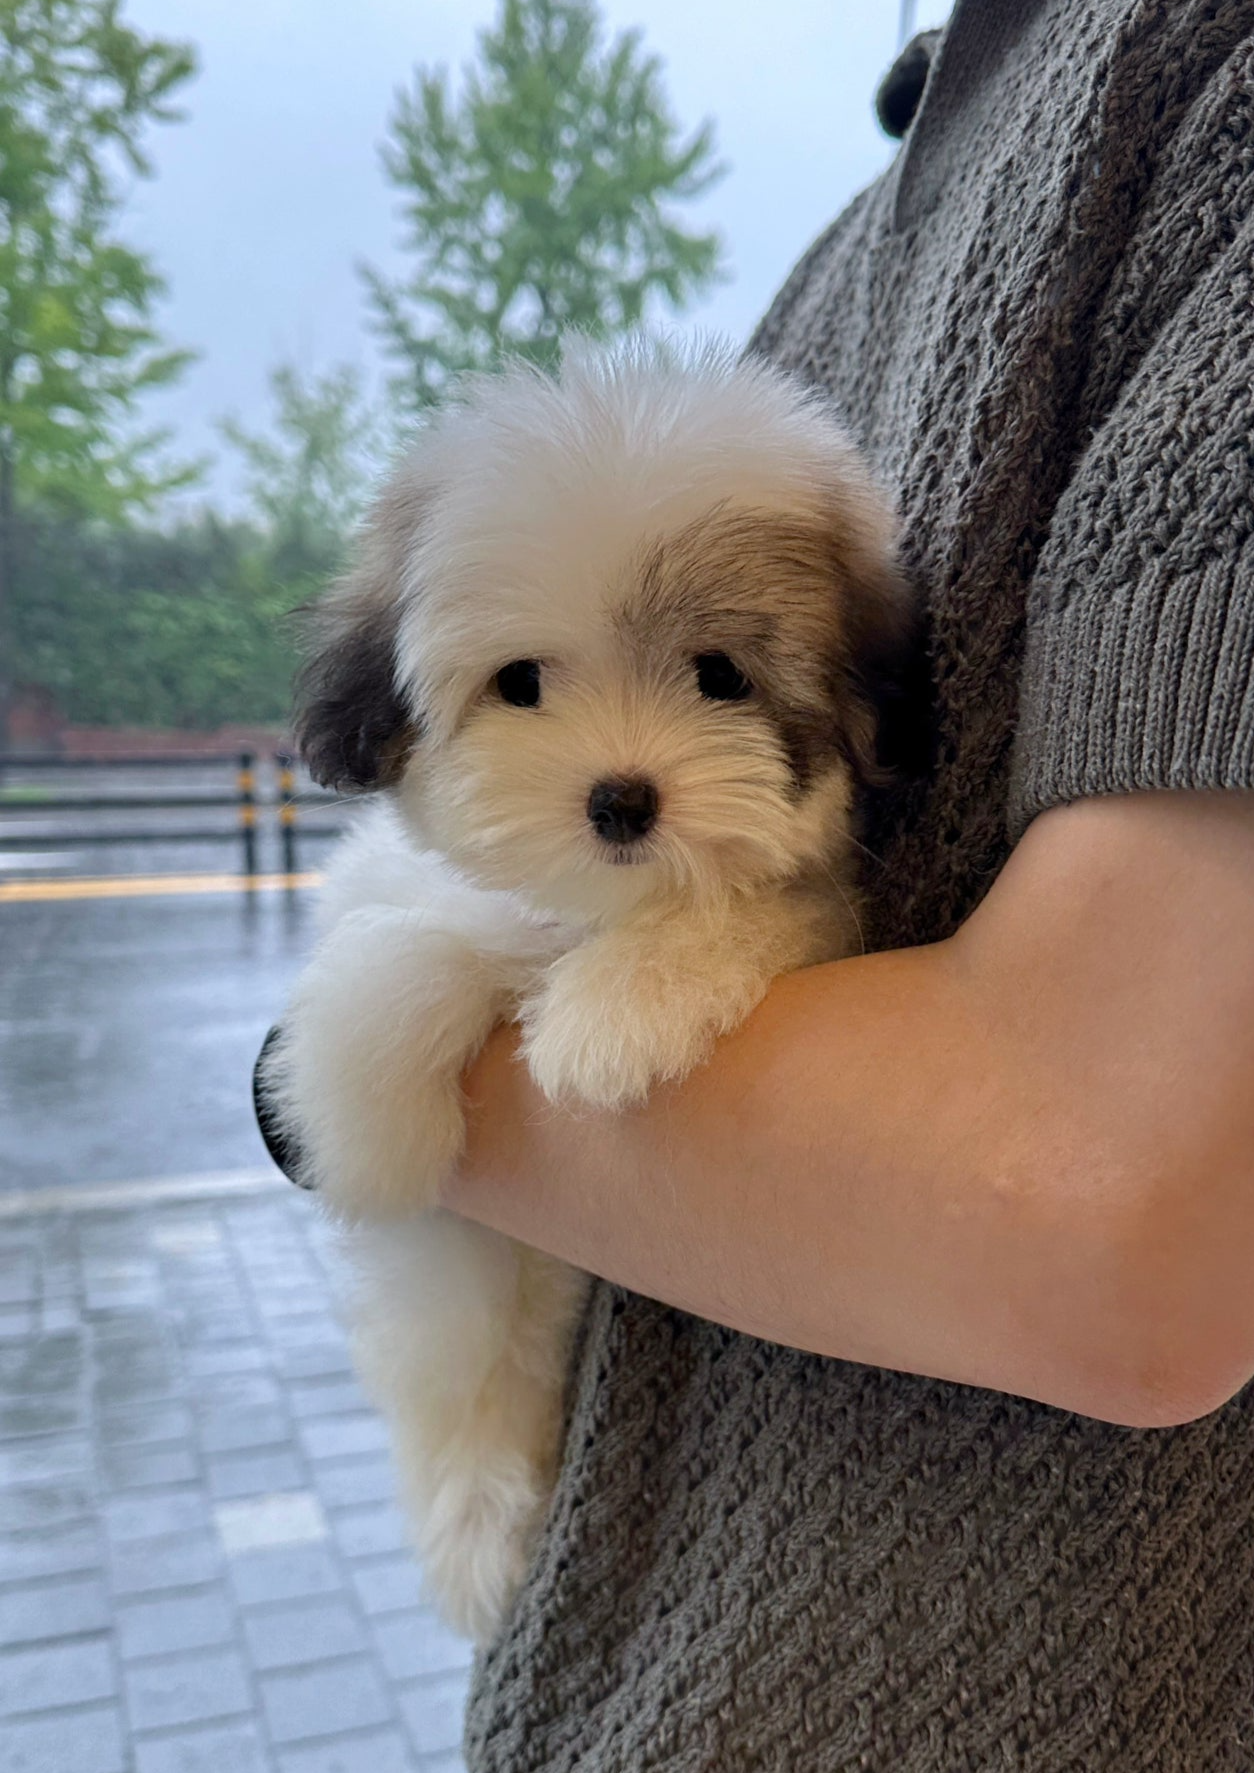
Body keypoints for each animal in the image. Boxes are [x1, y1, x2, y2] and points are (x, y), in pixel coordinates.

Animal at [264, 335, 915, 1645]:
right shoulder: (395, 890)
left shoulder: (814, 900)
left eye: (721, 675)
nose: (622, 799)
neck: (590, 908)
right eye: (520, 682)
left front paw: (616, 1012)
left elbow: (742, 907)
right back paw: (477, 1530)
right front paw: (367, 1130)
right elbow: (406, 952)